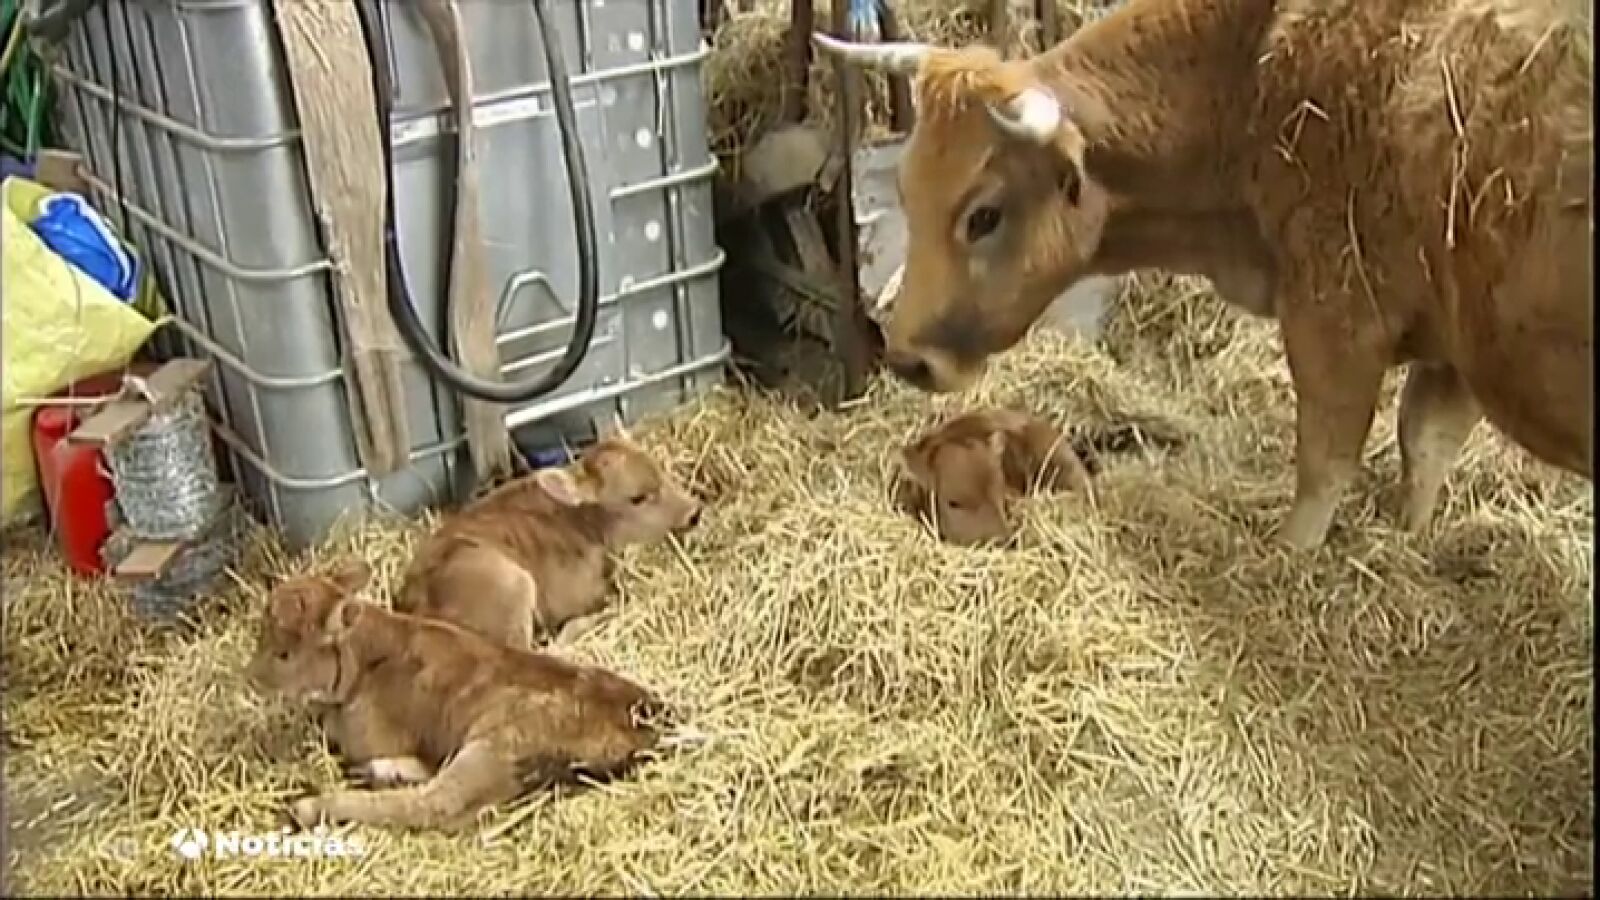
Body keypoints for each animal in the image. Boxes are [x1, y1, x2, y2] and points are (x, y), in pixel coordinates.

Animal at [813, 0, 1593, 550]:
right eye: (907, 188)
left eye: (983, 215)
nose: (907, 356)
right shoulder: (1456, 347)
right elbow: (1425, 447)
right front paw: (1409, 545)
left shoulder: (1334, 316)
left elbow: (1325, 467)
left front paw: (1290, 562)